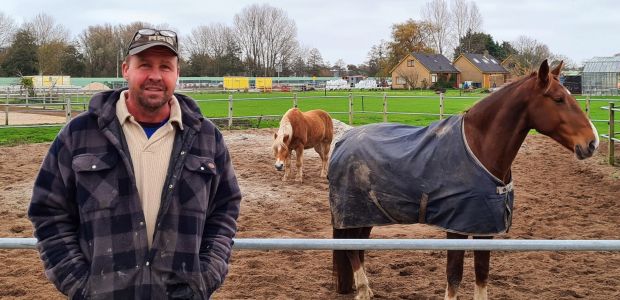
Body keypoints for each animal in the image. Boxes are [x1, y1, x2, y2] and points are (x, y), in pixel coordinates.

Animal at [332, 59, 600, 300]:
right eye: (558, 99)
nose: (592, 142)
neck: (478, 149)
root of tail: (343, 140)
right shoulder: (456, 227)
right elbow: (454, 276)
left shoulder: (485, 228)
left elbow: (482, 273)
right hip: (352, 212)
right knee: (352, 249)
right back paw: (363, 290)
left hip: (365, 214)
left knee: (357, 245)